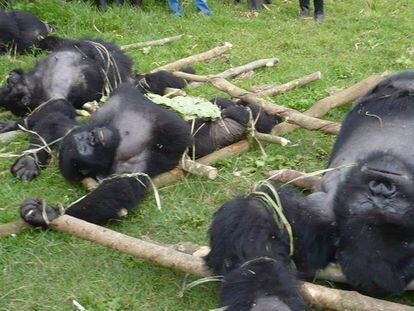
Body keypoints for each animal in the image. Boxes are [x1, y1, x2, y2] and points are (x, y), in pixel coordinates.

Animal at [12, 84, 191, 227]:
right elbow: (121, 187)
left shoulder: (72, 132)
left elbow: (54, 121)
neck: (117, 137)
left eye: (84, 139)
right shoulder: (128, 161)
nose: (94, 138)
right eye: (85, 148)